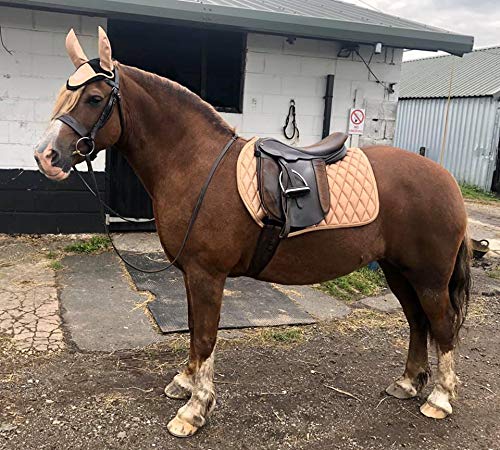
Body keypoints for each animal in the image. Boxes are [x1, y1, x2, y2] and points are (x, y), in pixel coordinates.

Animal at [33, 26, 470, 438]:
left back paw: (439, 398)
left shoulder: (207, 274)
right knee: (417, 321)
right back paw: (408, 382)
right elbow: (193, 329)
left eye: (93, 98)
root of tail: (445, 179)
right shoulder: (192, 275)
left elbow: (205, 336)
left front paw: (194, 410)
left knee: (442, 323)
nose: (45, 157)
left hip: (429, 277)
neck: (195, 163)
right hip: (398, 270)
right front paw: (185, 381)